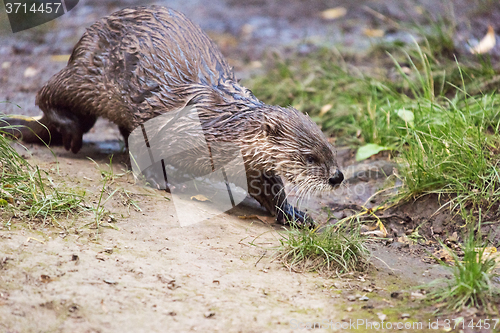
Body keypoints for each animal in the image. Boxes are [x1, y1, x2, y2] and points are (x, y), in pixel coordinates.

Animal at [3, 5, 344, 224]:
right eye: (309, 157)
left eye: (331, 150)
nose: (337, 177)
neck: (216, 125)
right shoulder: (163, 121)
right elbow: (146, 145)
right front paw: (157, 179)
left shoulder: (251, 165)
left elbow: (268, 188)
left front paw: (293, 214)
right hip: (86, 75)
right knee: (47, 92)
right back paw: (70, 132)